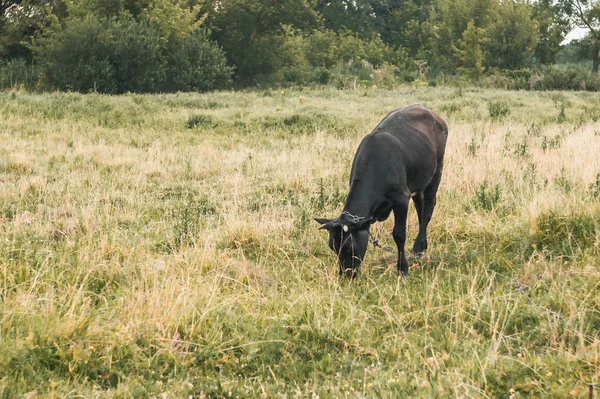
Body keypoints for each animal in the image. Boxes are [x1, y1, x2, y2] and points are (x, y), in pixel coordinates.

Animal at [316, 104, 448, 276]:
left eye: (349, 247)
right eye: (333, 247)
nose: (346, 274)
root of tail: (432, 113)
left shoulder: (401, 198)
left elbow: (399, 234)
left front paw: (402, 268)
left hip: (437, 171)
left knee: (428, 208)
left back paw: (418, 247)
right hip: (418, 181)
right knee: (421, 207)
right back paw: (420, 246)